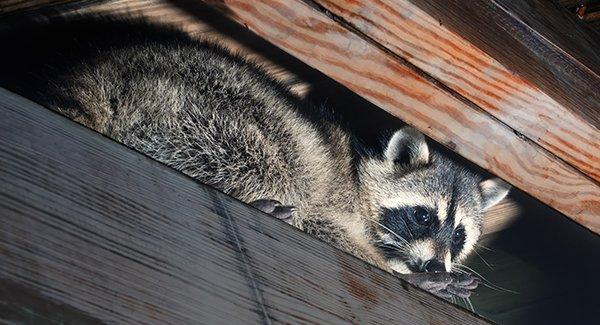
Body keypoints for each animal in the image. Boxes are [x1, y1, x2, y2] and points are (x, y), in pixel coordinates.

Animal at [0, 16, 510, 298]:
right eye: (423, 217)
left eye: (459, 235)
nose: (435, 267)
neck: (359, 173)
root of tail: (101, 68)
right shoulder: (334, 198)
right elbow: (321, 223)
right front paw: (395, 269)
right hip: (202, 107)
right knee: (269, 158)